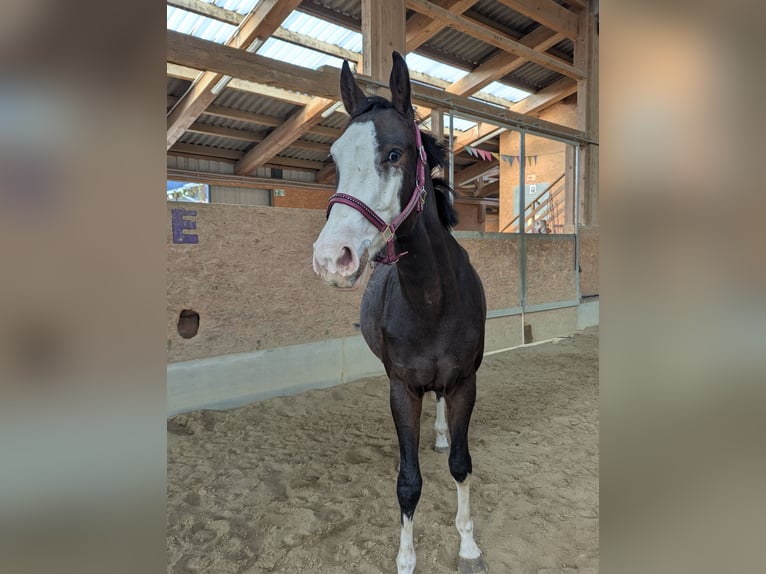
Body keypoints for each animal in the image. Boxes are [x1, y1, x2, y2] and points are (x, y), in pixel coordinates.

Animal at [312, 52, 488, 574]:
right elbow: (408, 480)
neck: (432, 301)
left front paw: (468, 545)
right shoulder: (402, 388)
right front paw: (406, 558)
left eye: (393, 154)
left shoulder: (464, 382)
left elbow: (461, 466)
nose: (331, 258)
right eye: (334, 159)